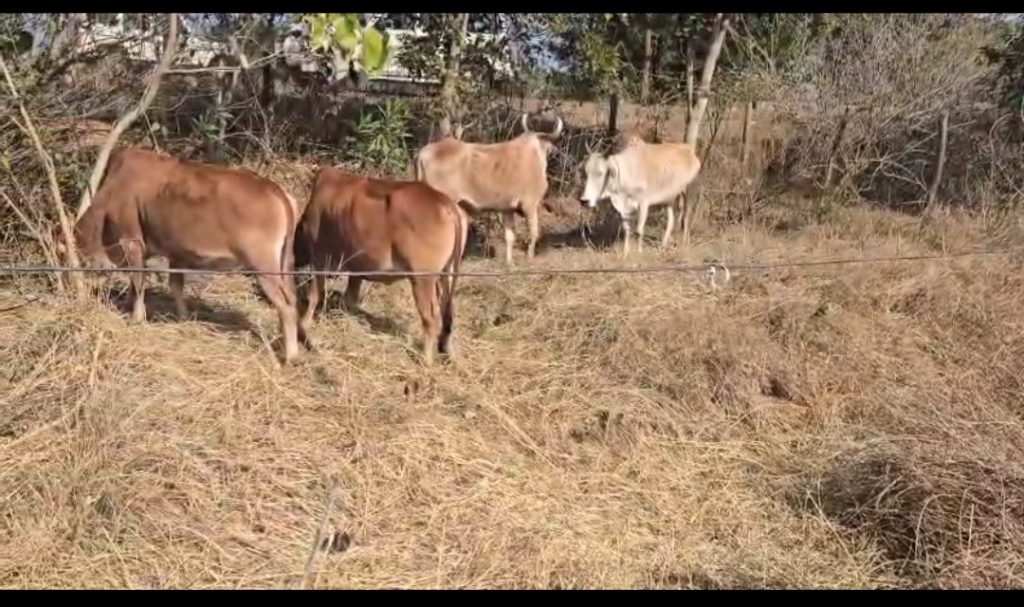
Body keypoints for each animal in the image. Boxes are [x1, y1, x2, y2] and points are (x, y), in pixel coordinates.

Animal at [73, 147, 303, 363]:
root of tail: (274, 189)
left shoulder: (132, 241)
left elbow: (138, 281)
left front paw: (136, 318)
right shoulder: (175, 252)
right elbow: (173, 285)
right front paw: (181, 316)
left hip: (262, 266)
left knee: (286, 304)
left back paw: (290, 355)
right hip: (282, 265)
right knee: (291, 298)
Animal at [294, 167, 467, 366]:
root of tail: (446, 203)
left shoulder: (320, 258)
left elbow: (315, 295)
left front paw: (305, 324)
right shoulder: (357, 267)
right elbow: (350, 299)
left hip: (422, 279)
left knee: (431, 317)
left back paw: (426, 359)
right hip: (447, 276)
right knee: (449, 313)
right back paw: (449, 353)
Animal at [414, 113, 563, 266]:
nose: (556, 153)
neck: (534, 152)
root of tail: (423, 153)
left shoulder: (507, 209)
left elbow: (510, 236)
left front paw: (509, 262)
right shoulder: (530, 204)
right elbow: (534, 232)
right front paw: (530, 257)